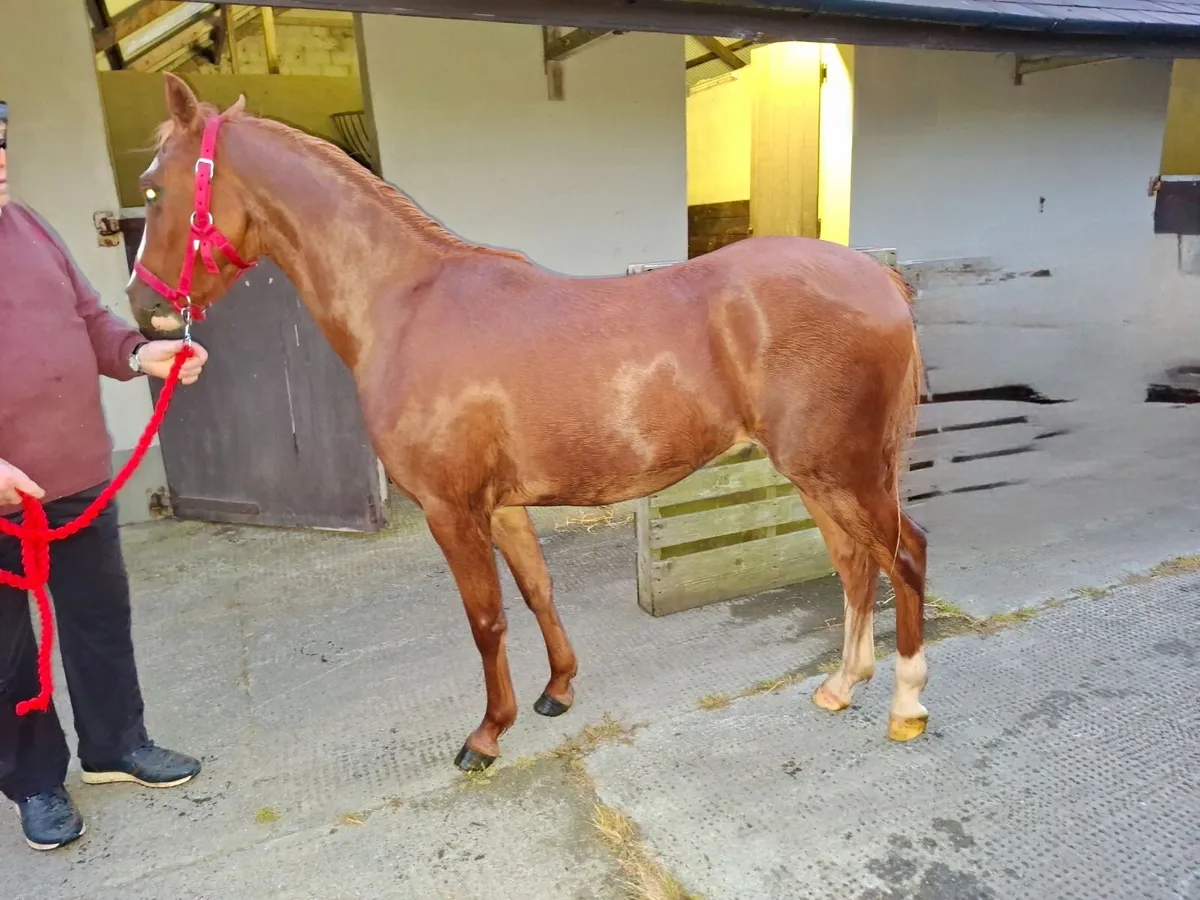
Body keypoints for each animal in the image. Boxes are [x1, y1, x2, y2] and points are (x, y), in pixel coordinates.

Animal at [126, 73, 929, 772]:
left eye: (154, 188)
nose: (144, 307)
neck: (406, 304)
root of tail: (879, 279)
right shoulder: (504, 506)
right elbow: (538, 591)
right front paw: (557, 690)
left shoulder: (451, 510)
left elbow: (485, 620)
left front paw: (486, 735)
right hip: (818, 475)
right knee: (854, 564)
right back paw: (840, 687)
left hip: (841, 471)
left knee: (904, 557)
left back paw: (905, 706)